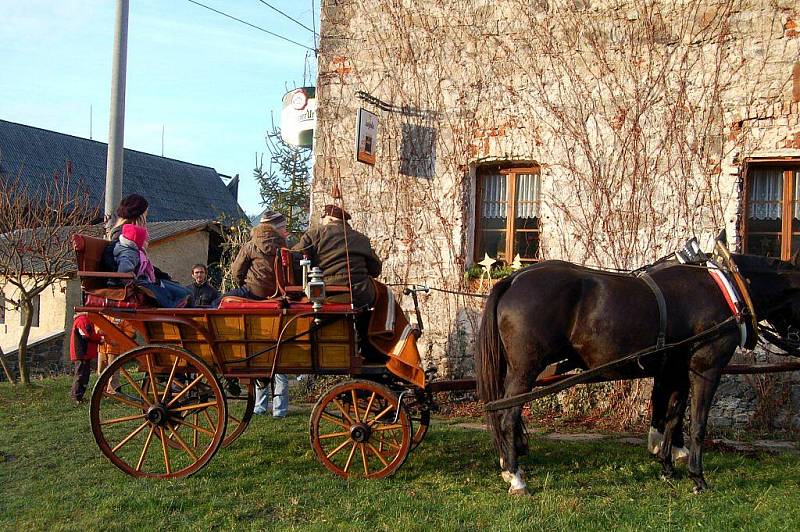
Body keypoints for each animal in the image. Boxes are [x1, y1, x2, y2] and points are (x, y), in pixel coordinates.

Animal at [476, 254, 800, 494]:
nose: (795, 343)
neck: (726, 290)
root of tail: (514, 279)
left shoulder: (676, 369)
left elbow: (672, 417)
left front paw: (668, 468)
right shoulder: (706, 368)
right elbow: (697, 423)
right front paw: (697, 477)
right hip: (525, 371)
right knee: (507, 418)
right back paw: (517, 478)